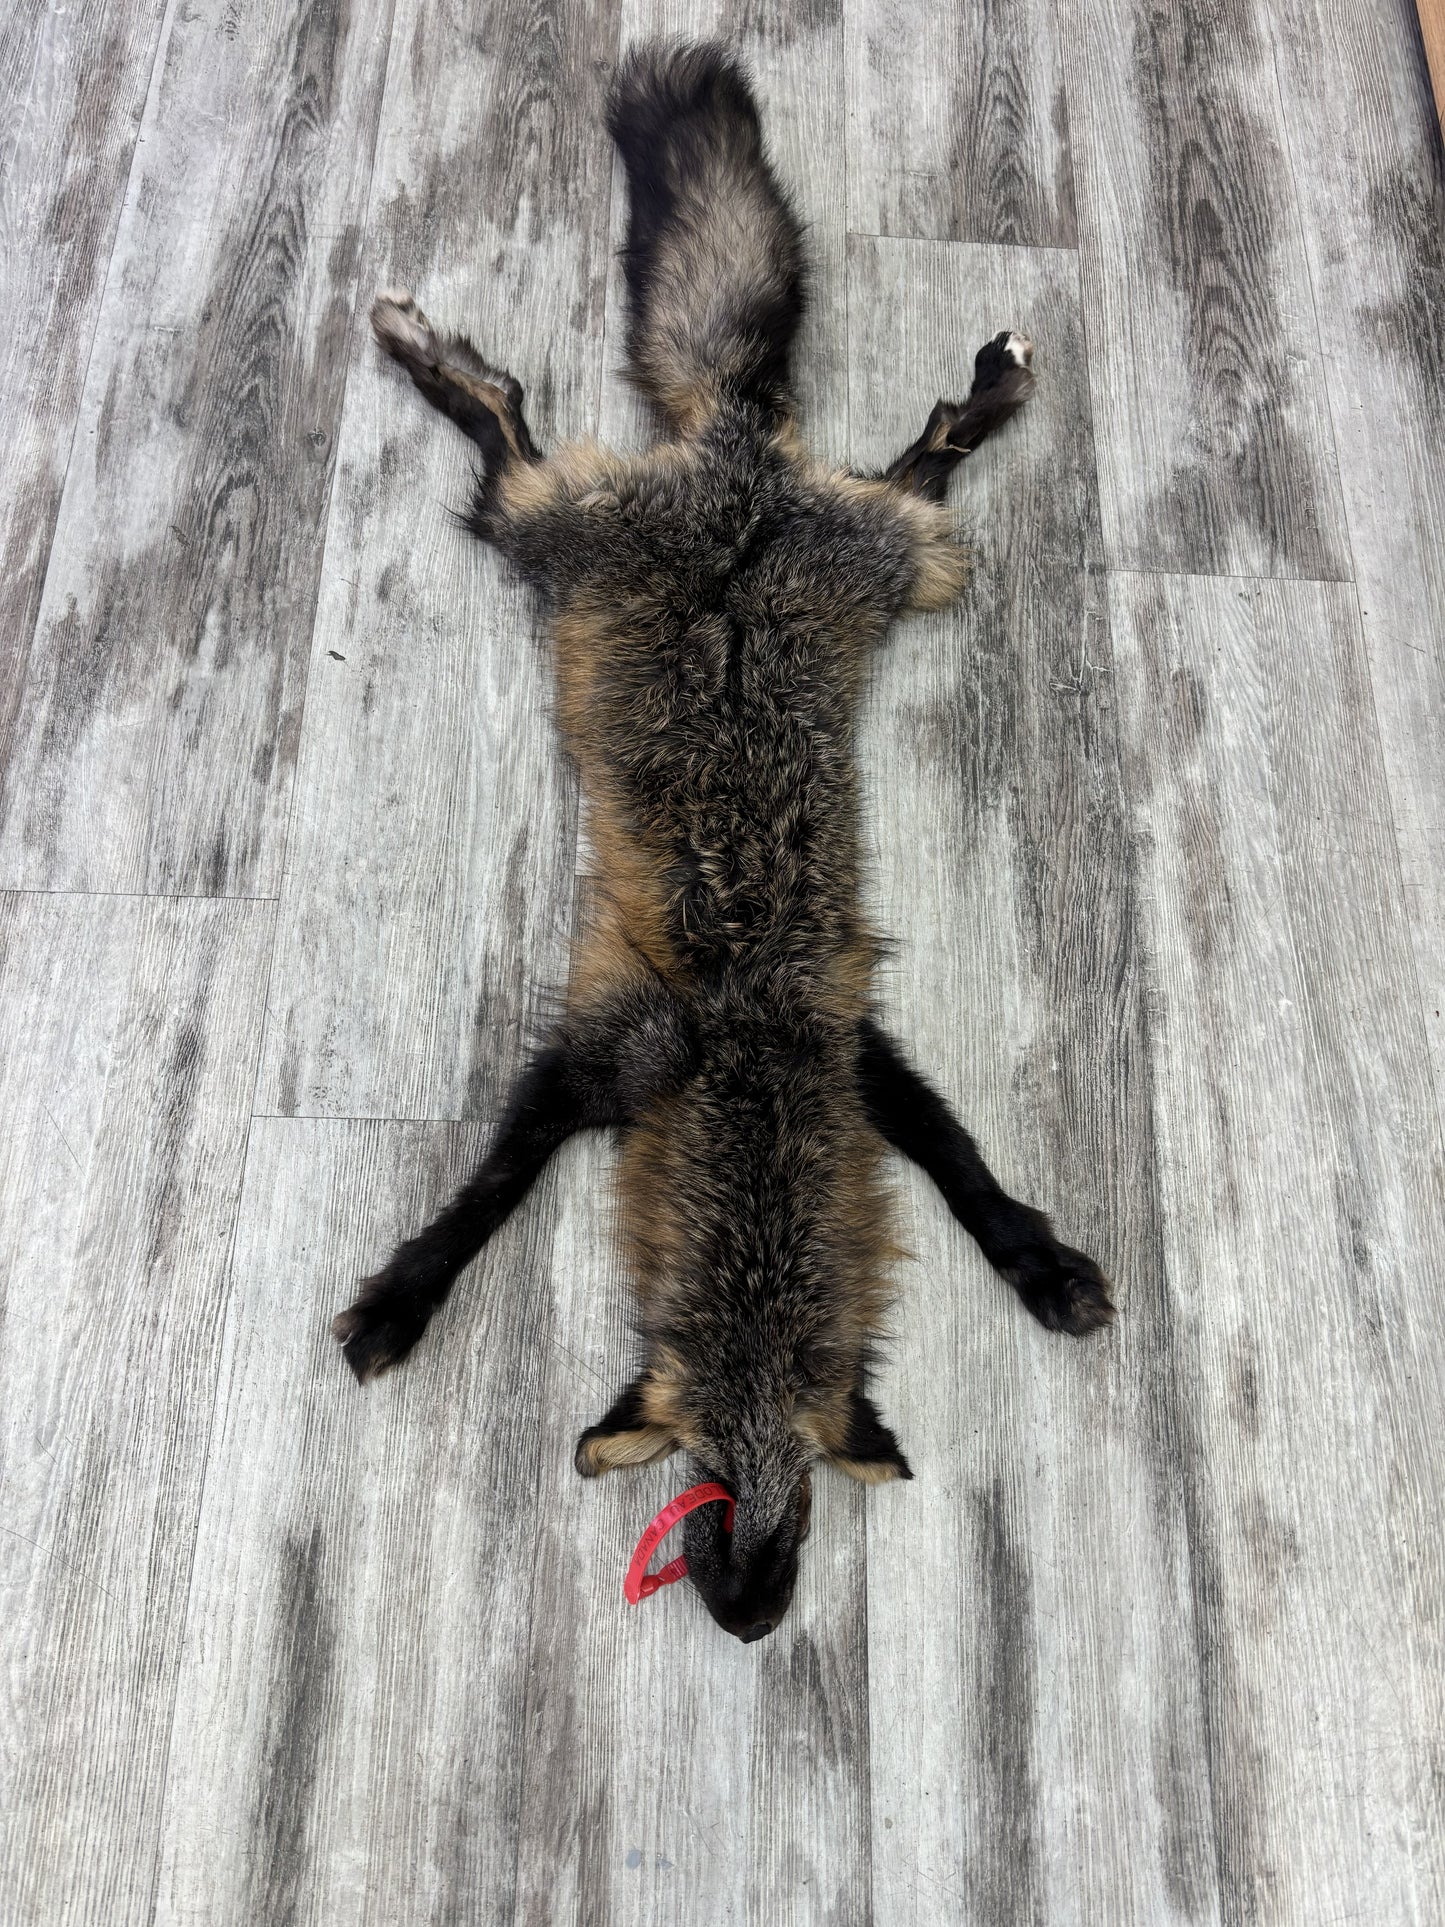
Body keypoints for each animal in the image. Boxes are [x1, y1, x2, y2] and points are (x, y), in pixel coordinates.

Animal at [334, 39, 1115, 1643]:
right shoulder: (597, 1056)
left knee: (914, 469)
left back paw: (990, 385)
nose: (751, 1621)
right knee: (508, 431)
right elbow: (481, 1198)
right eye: (700, 1466)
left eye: (795, 1479)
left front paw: (1039, 1262)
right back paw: (430, 355)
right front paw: (399, 1299)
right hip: (557, 535)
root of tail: (735, 459)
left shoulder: (854, 1043)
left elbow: (964, 1168)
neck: (747, 1059)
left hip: (895, 565)